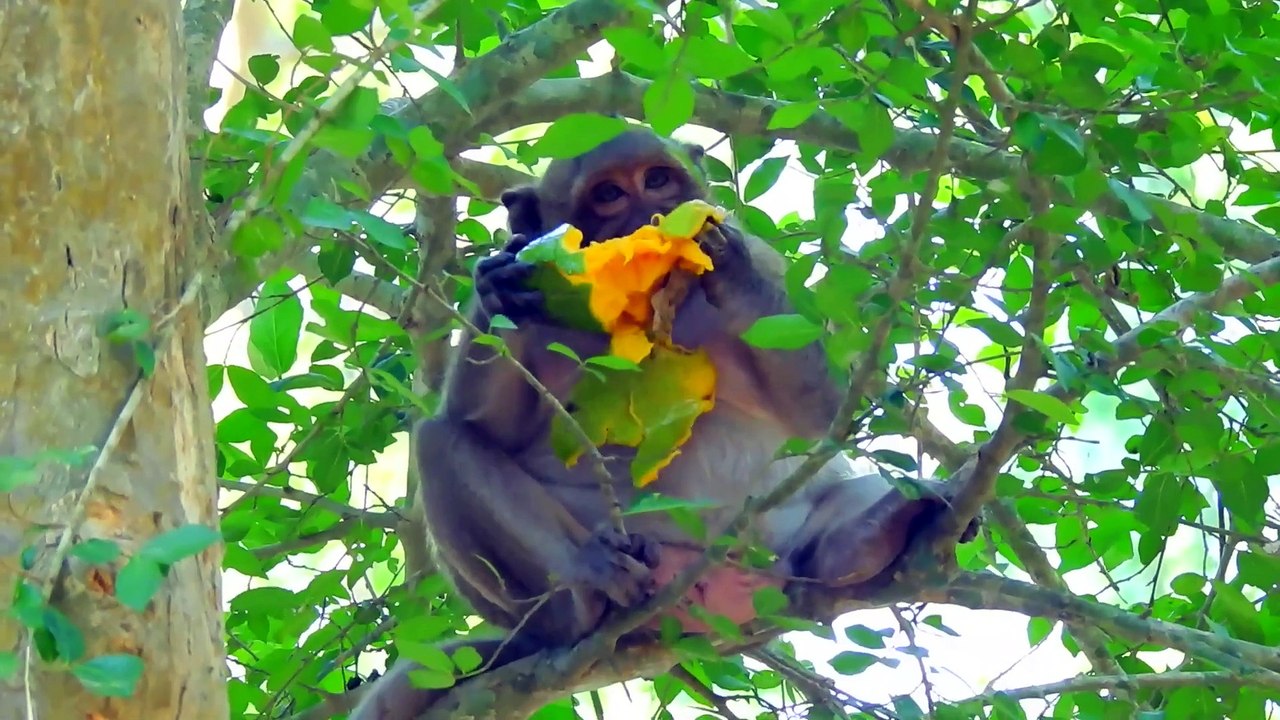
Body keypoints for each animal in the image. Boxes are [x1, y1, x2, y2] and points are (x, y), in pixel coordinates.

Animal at [349, 127, 976, 720]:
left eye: (657, 179)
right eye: (608, 194)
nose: (649, 214)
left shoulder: (769, 260)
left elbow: (822, 418)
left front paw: (728, 266)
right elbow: (478, 424)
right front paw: (499, 282)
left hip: (767, 552)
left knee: (828, 527)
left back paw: (868, 535)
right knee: (439, 440)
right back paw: (583, 593)